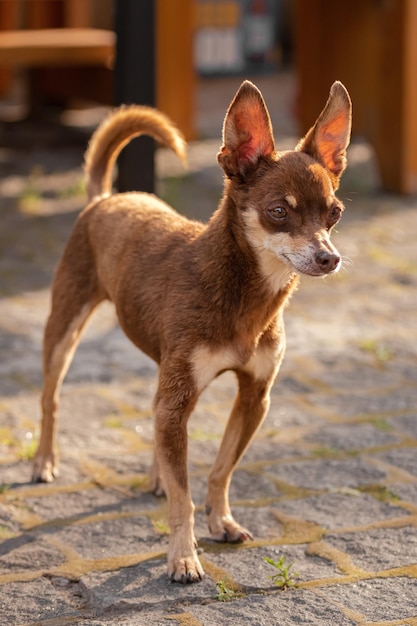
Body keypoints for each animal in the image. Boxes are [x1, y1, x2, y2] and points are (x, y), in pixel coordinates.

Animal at [31, 79, 352, 580]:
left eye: (334, 213)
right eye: (278, 212)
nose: (329, 257)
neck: (247, 295)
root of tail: (106, 197)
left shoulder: (253, 397)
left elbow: (220, 470)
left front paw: (222, 521)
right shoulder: (184, 396)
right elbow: (184, 499)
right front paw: (183, 556)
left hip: (167, 375)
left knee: (155, 414)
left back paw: (157, 474)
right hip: (63, 329)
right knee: (52, 399)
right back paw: (45, 462)